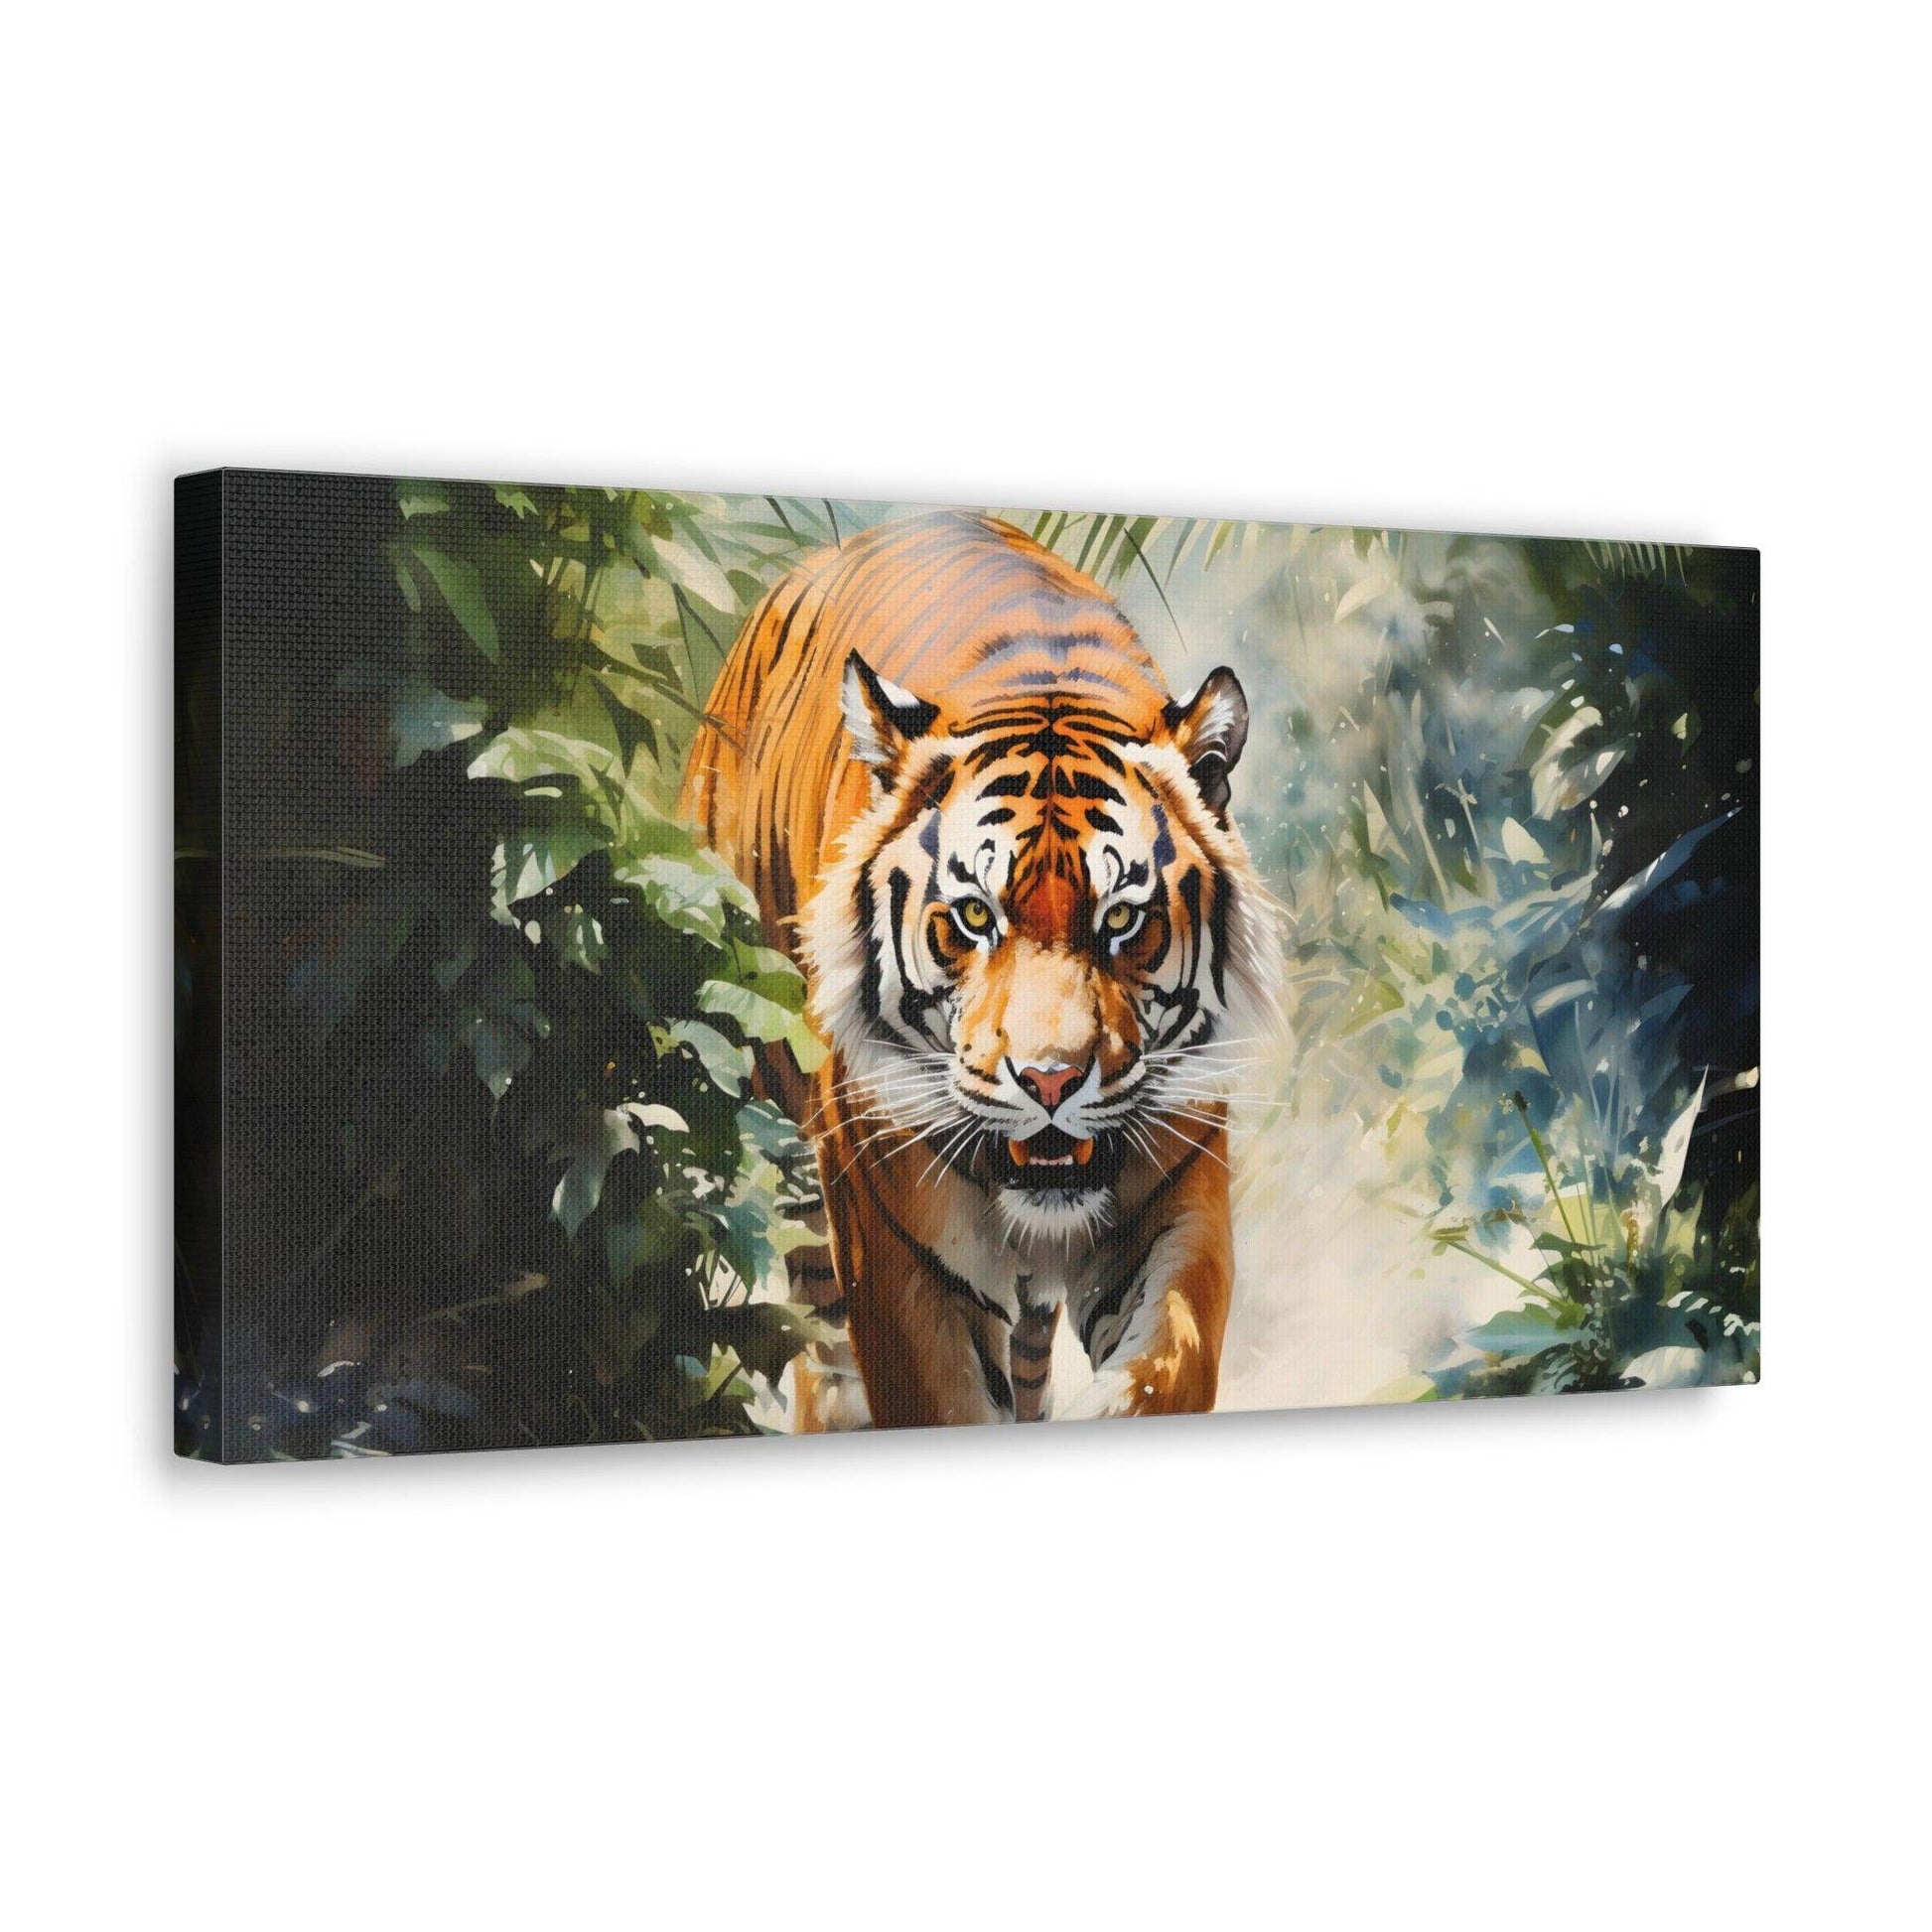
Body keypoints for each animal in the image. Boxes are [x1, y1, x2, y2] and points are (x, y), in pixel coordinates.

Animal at [681, 510, 1280, 1430]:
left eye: (1122, 920)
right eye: (973, 917)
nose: (1050, 1081)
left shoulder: (1178, 1202)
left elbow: (1164, 1368)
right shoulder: (898, 1251)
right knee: (822, 1349)